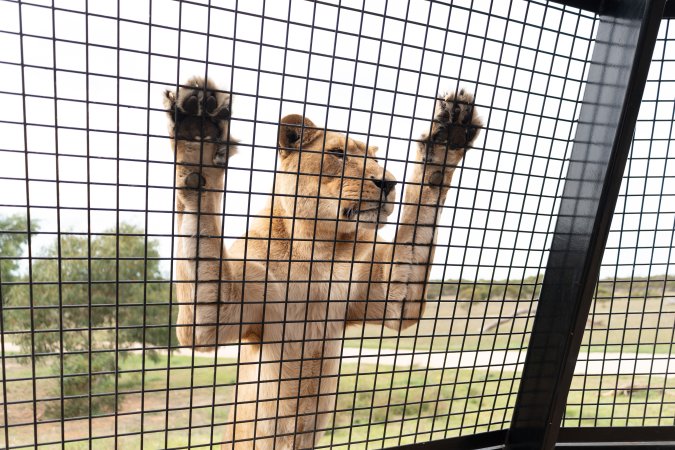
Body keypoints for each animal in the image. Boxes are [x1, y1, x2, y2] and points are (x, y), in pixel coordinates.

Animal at [163, 76, 482, 450]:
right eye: (337, 153)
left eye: (374, 158)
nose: (388, 182)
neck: (321, 252)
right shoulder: (216, 317)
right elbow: (200, 204)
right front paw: (197, 138)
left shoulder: (393, 300)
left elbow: (421, 205)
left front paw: (447, 136)